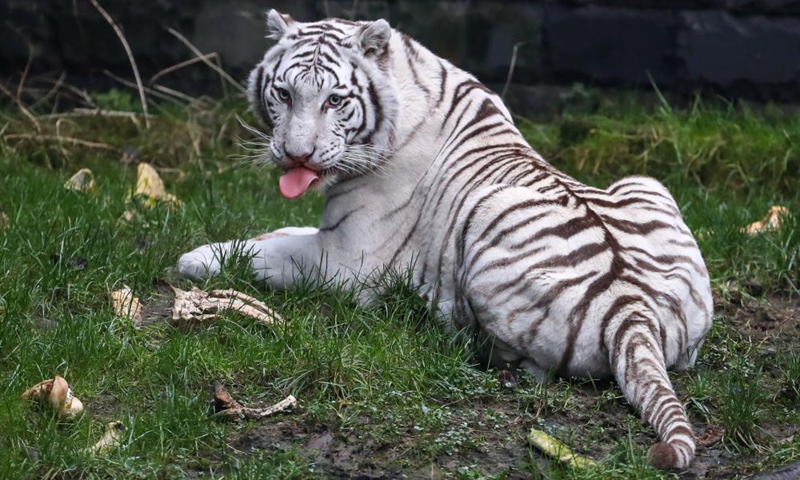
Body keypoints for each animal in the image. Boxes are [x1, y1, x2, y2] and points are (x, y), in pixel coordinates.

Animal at [178, 10, 716, 468]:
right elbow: (277, 234)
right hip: (648, 183)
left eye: (334, 100)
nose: (296, 156)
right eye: (285, 95)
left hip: (489, 214)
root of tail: (632, 308)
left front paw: (193, 259)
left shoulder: (347, 260)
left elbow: (265, 251)